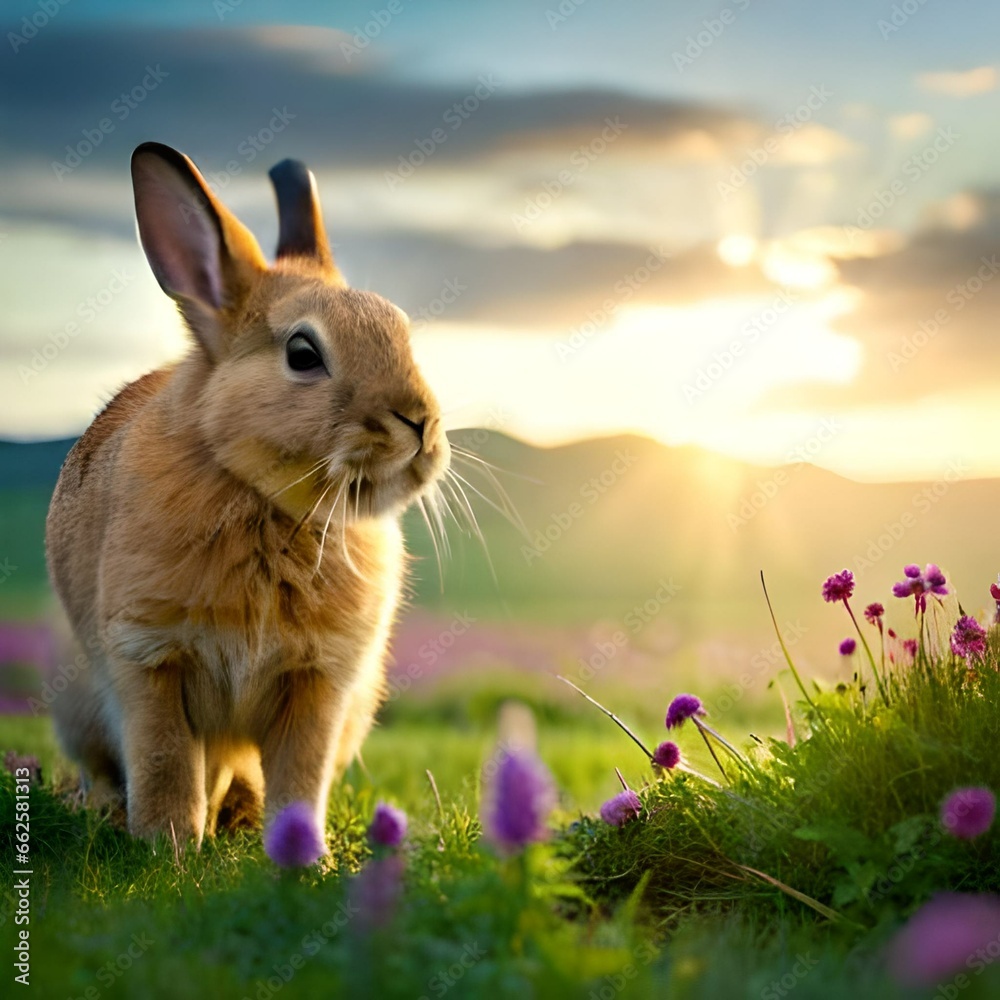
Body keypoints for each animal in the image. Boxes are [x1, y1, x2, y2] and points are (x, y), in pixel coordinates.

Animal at [46, 143, 450, 852]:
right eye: (303, 352)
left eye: (400, 329)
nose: (420, 423)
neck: (272, 503)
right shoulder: (149, 657)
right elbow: (167, 764)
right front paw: (169, 852)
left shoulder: (320, 683)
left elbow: (300, 776)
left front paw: (299, 856)